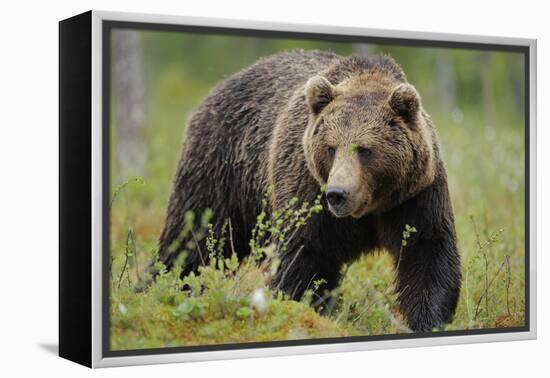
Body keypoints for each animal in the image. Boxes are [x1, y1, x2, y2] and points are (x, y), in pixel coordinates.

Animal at [157, 49, 464, 330]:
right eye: (331, 148)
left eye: (365, 150)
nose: (337, 194)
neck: (370, 207)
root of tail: (221, 85)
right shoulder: (306, 189)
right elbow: (303, 256)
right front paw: (301, 307)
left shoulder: (416, 196)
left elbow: (426, 253)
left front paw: (427, 319)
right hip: (221, 168)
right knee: (192, 238)